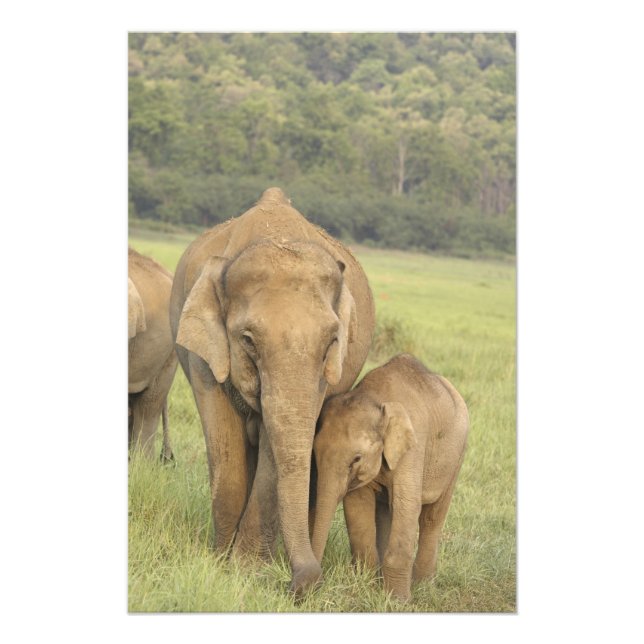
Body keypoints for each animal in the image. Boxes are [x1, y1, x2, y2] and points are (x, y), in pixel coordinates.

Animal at [169, 187, 375, 595]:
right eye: (248, 340)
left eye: (331, 342)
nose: (303, 583)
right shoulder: (203, 355)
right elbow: (224, 442)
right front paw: (220, 563)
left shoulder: (321, 377)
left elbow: (275, 453)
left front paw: (247, 570)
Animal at [311, 353, 469, 601]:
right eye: (314, 454)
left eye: (356, 459)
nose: (315, 587)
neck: (374, 398)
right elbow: (358, 504)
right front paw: (366, 585)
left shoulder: (413, 446)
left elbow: (407, 505)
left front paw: (397, 601)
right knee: (386, 512)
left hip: (457, 456)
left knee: (431, 517)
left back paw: (423, 585)